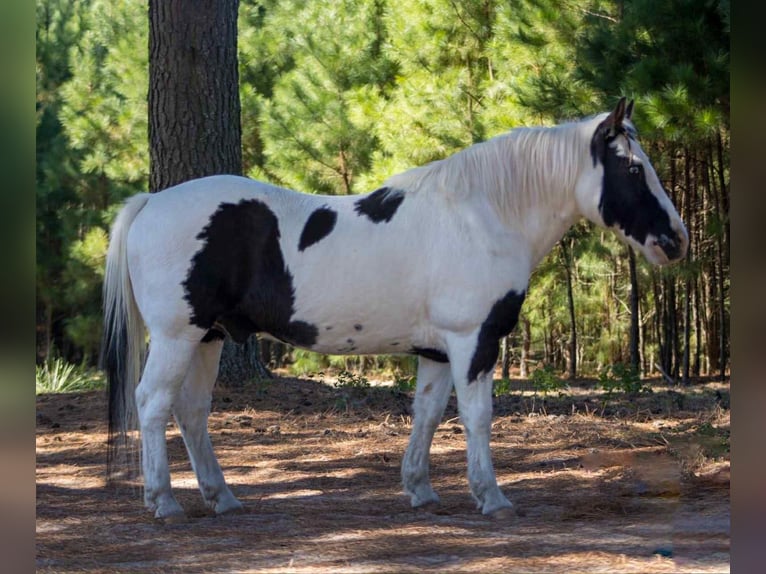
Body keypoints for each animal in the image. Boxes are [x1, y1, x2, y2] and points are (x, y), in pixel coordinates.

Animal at [102, 97, 688, 521]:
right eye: (633, 168)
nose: (676, 240)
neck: (485, 214)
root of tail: (151, 202)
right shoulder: (474, 341)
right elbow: (477, 417)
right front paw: (492, 497)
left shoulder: (437, 349)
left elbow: (426, 415)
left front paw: (421, 491)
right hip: (178, 337)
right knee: (153, 404)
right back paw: (164, 502)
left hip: (209, 338)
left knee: (191, 411)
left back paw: (221, 497)